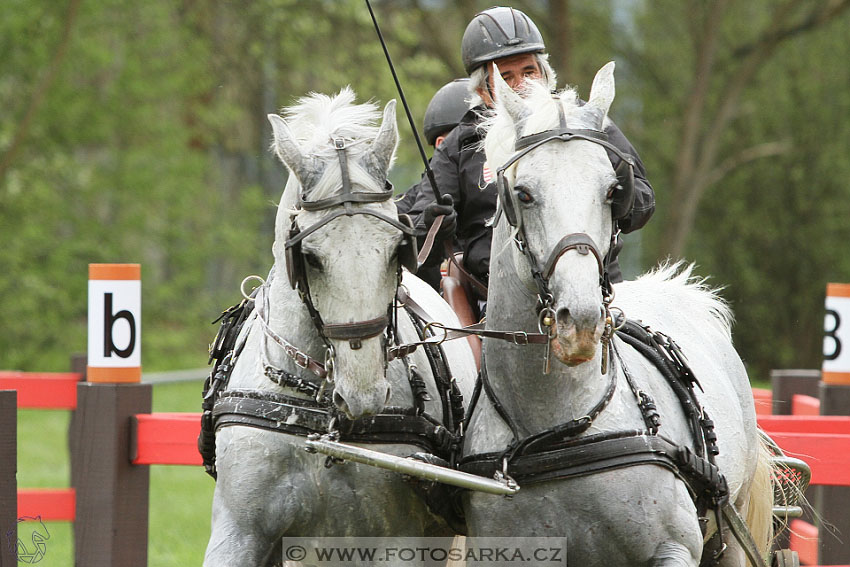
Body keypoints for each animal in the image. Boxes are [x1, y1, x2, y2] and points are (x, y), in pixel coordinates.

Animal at [201, 89, 474, 567]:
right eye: (309, 257)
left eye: (397, 249)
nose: (363, 395)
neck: (322, 417)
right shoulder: (239, 532)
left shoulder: (396, 541)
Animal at [458, 64, 776, 564]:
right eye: (523, 194)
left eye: (613, 191)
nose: (581, 321)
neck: (561, 430)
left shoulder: (673, 549)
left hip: (732, 529)